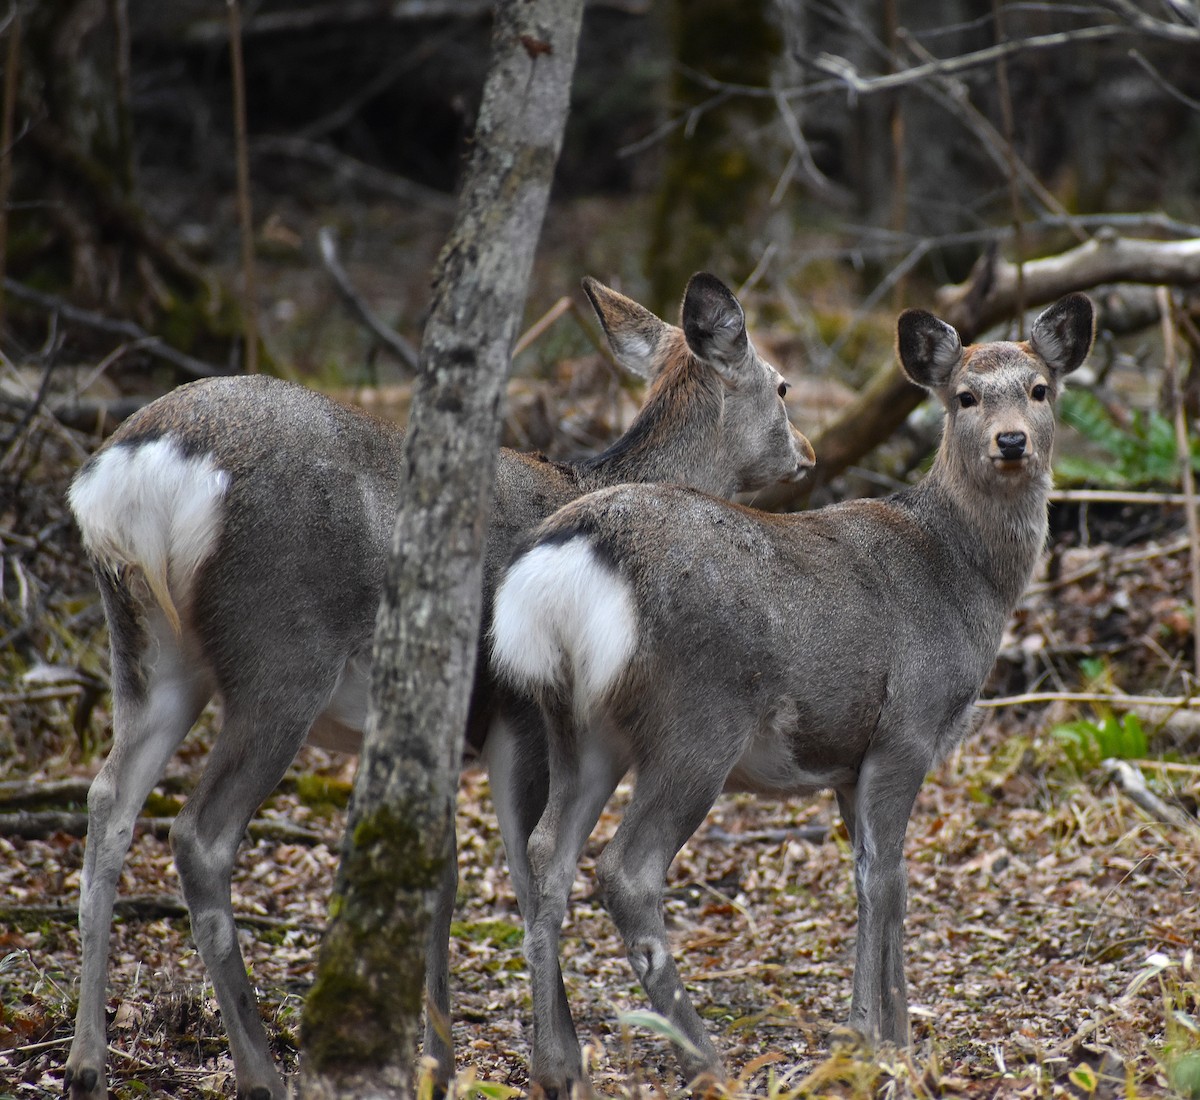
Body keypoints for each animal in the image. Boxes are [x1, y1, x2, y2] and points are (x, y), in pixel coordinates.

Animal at [64, 272, 814, 1100]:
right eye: (782, 383)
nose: (809, 453)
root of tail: (143, 472)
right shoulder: (520, 718)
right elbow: (525, 868)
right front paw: (557, 1062)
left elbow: (438, 871)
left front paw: (437, 1059)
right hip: (282, 653)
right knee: (200, 833)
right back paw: (260, 1070)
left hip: (149, 652)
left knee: (108, 801)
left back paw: (86, 1061)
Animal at [489, 294, 1095, 1094]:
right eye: (964, 396)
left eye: (1040, 389)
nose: (1012, 441)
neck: (962, 578)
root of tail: (574, 557)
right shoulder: (907, 726)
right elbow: (884, 879)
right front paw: (874, 1042)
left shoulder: (849, 760)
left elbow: (883, 876)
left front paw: (895, 1036)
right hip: (699, 719)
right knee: (627, 871)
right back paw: (709, 1062)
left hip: (578, 725)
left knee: (544, 857)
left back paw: (559, 1065)